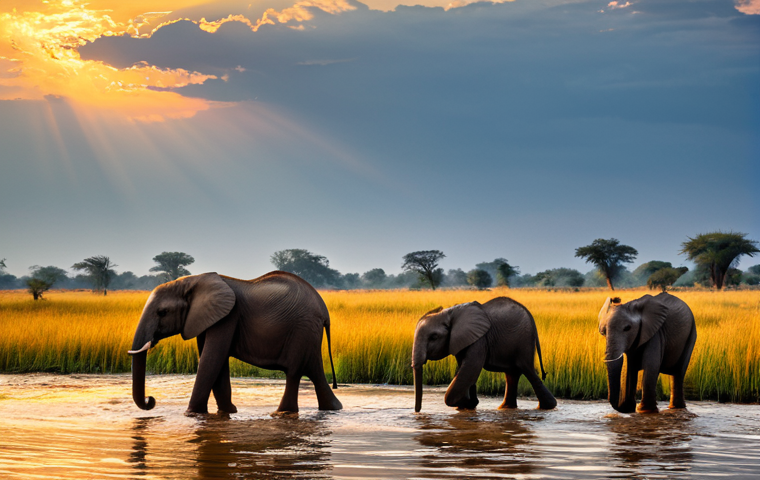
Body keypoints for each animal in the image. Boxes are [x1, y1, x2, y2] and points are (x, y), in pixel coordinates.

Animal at [128, 271, 342, 414]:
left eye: (162, 312)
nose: (151, 400)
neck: (193, 280)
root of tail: (325, 311)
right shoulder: (208, 318)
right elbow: (216, 362)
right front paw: (228, 412)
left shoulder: (228, 316)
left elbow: (212, 359)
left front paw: (192, 414)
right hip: (309, 333)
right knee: (315, 372)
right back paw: (333, 408)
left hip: (302, 330)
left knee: (294, 373)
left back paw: (281, 413)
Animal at [412, 297, 557, 412]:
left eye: (433, 337)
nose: (417, 412)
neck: (448, 312)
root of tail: (531, 317)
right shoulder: (461, 340)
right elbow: (465, 370)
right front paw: (468, 404)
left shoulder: (479, 339)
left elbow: (471, 367)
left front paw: (467, 403)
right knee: (512, 374)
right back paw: (505, 408)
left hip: (523, 341)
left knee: (527, 370)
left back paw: (547, 407)